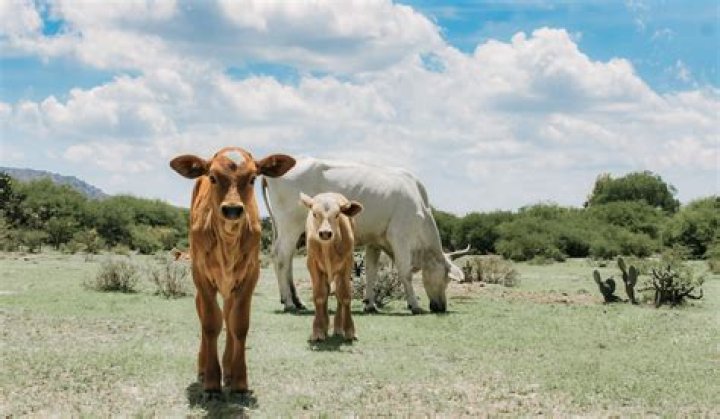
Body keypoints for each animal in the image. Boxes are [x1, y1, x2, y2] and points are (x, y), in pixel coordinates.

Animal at [170, 147, 295, 395]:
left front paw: (239, 380)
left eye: (253, 178)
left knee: (228, 316)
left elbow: (238, 325)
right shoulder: (201, 277)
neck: (228, 243)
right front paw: (211, 382)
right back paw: (204, 368)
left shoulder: (249, 277)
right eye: (213, 177)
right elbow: (210, 324)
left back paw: (227, 369)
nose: (232, 210)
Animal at [262, 157, 470, 315]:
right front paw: (415, 305)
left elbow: (371, 272)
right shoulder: (400, 237)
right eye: (446, 279)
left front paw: (370, 304)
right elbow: (405, 272)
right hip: (291, 227)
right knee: (281, 258)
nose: (440, 307)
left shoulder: (375, 241)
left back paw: (296, 301)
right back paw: (289, 303)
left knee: (285, 259)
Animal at [301, 192, 363, 341]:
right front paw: (318, 330)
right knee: (326, 291)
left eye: (337, 214)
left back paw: (338, 328)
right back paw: (324, 325)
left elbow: (345, 295)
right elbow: (319, 296)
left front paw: (350, 330)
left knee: (339, 293)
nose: (325, 233)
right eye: (315, 214)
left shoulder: (347, 264)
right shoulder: (312, 264)